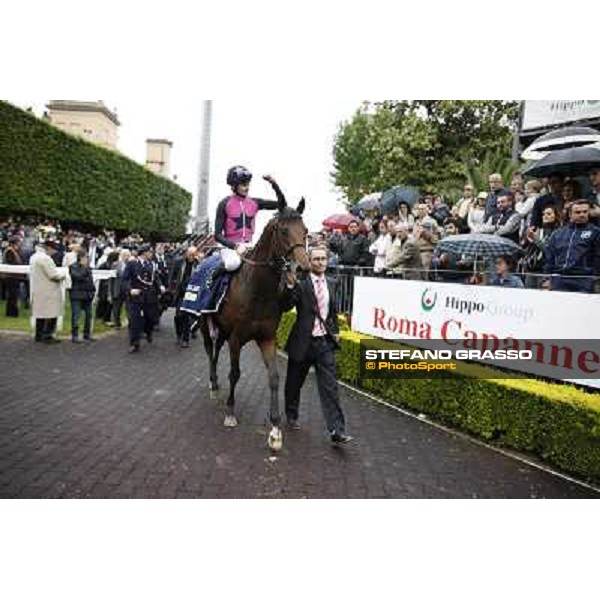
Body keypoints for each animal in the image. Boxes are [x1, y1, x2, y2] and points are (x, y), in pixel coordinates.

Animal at [200, 192, 310, 450]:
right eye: (283, 231)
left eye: (306, 231)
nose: (302, 267)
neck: (258, 290)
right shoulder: (237, 338)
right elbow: (235, 373)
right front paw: (230, 413)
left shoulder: (267, 337)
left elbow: (274, 378)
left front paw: (276, 430)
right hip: (204, 322)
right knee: (210, 350)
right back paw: (213, 384)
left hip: (222, 329)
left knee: (215, 349)